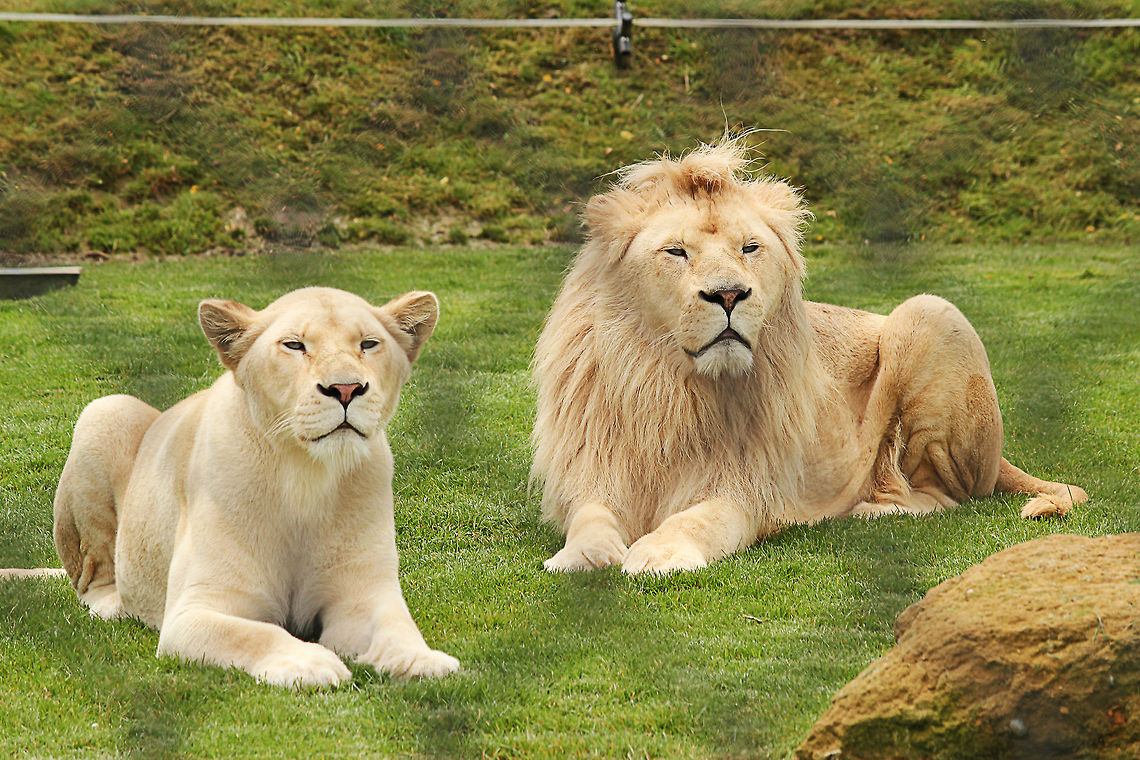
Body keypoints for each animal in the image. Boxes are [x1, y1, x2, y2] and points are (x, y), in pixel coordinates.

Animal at [12, 287, 459, 686]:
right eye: (294, 345)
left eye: (369, 344)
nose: (346, 389)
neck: (306, 476)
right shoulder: (193, 613)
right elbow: (256, 633)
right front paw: (309, 663)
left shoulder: (361, 597)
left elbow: (395, 627)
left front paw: (421, 659)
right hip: (105, 410)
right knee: (93, 579)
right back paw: (117, 604)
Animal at [531, 137, 1088, 575]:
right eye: (676, 252)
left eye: (749, 248)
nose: (729, 295)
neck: (669, 388)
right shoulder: (594, 473)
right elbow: (590, 519)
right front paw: (581, 556)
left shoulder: (748, 489)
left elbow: (700, 519)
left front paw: (658, 552)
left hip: (927, 313)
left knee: (947, 495)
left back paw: (869, 509)